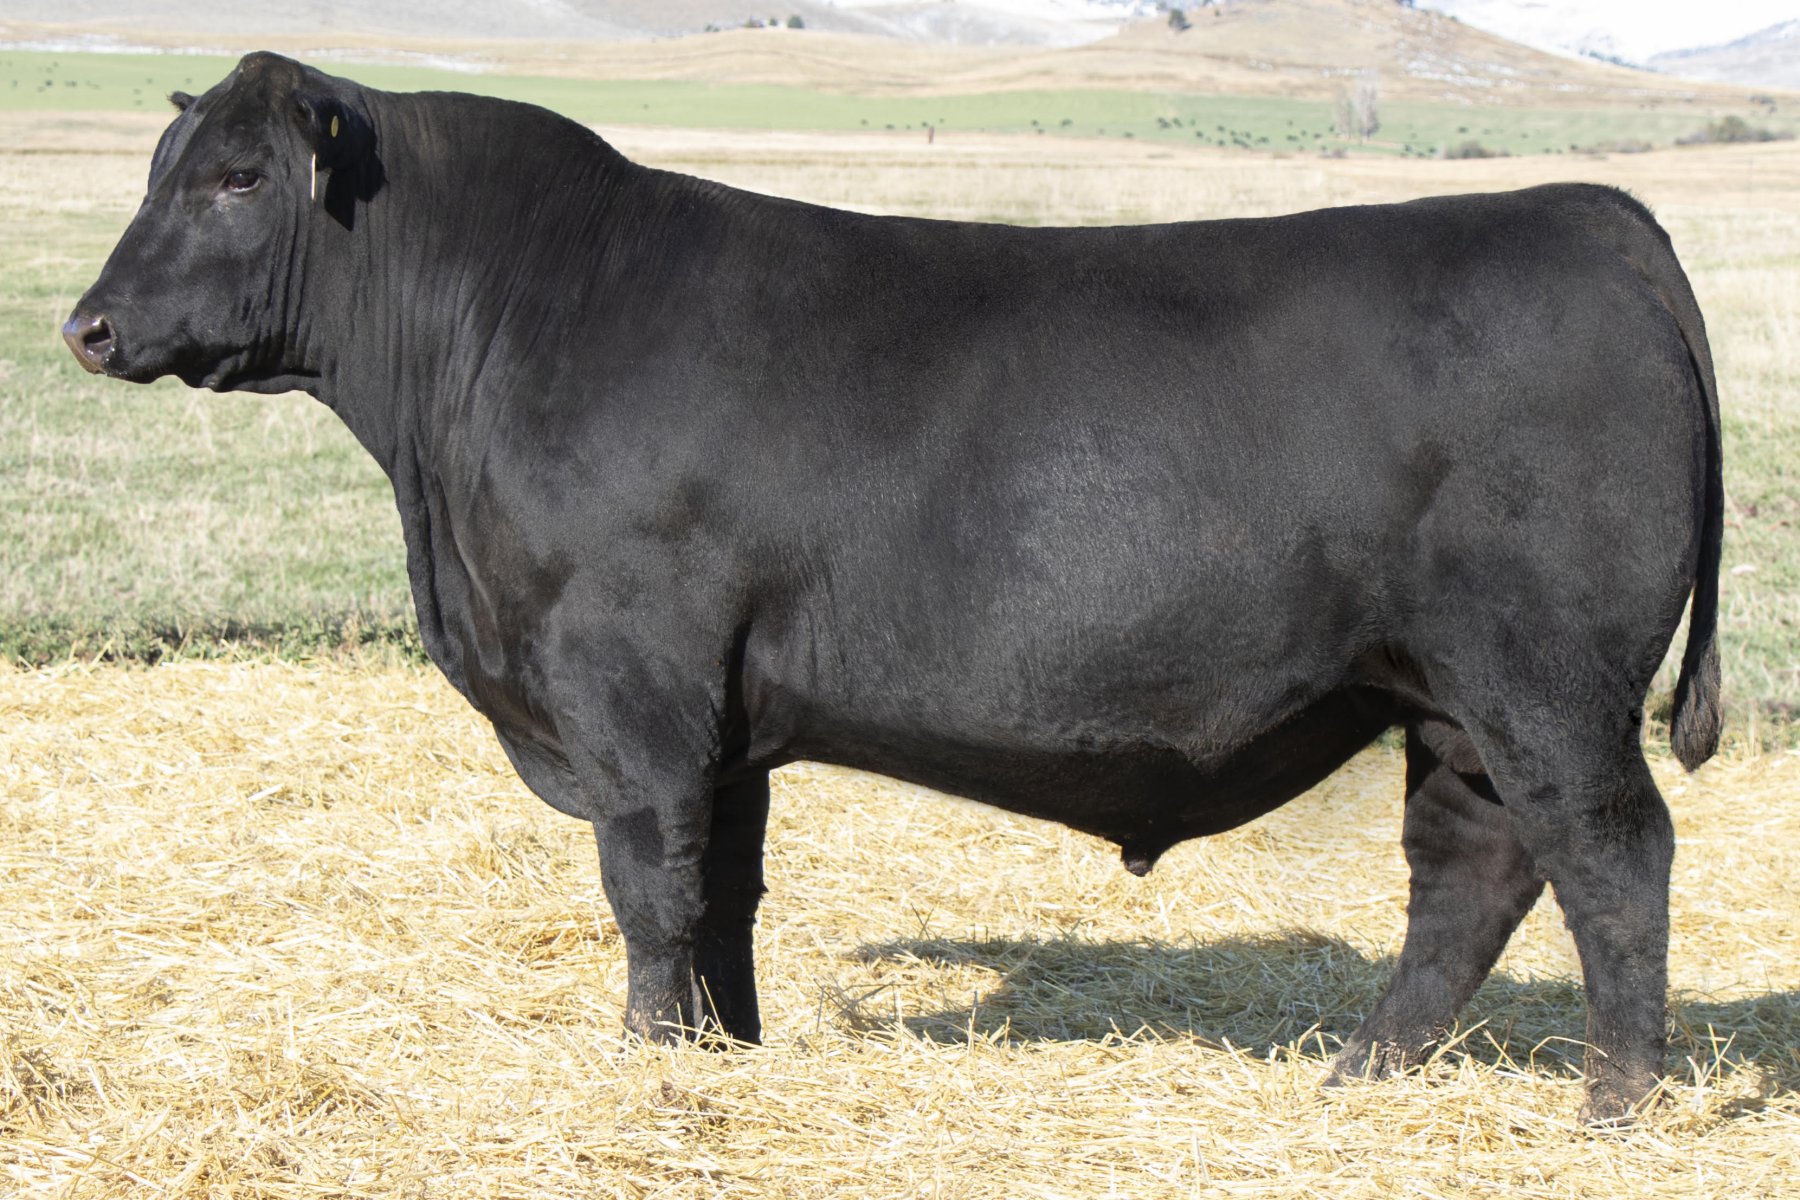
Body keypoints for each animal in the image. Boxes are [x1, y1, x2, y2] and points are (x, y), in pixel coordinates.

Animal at [64, 53, 1721, 1125]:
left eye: (236, 178)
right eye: (158, 171)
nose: (87, 326)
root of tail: (1594, 212)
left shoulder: (630, 679)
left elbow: (648, 883)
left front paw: (649, 1070)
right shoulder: (721, 712)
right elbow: (722, 886)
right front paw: (722, 1057)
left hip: (1548, 680)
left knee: (1611, 853)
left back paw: (1616, 1102)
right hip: (1446, 698)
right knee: (1473, 869)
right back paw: (1367, 1071)